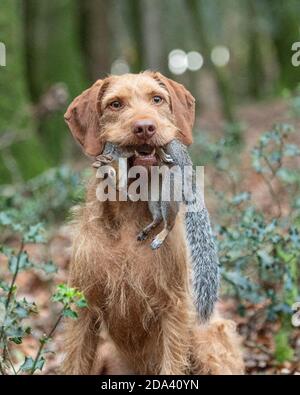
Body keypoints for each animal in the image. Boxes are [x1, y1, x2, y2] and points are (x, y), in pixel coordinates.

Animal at [94, 140, 220, 322]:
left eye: (106, 171)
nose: (109, 185)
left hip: (168, 193)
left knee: (169, 223)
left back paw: (159, 238)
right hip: (154, 196)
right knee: (159, 217)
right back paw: (147, 231)